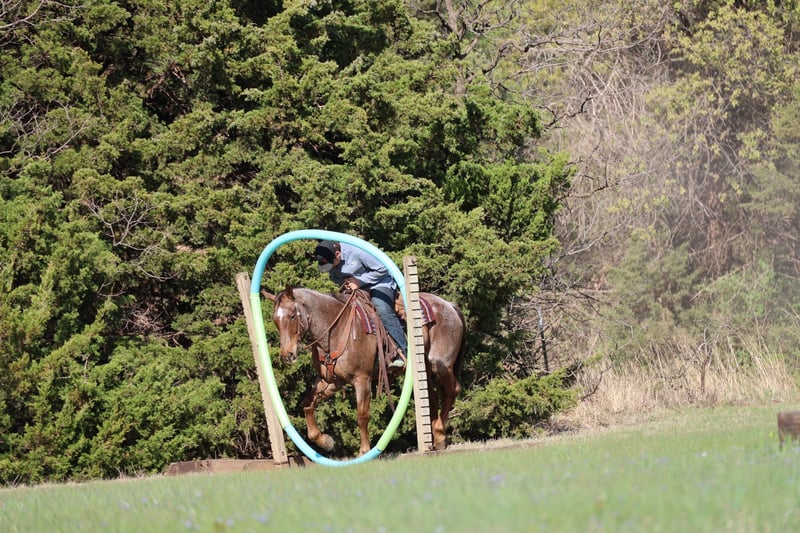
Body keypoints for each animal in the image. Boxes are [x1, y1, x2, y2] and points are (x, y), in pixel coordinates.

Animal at [264, 286, 465, 455]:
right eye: (275, 320)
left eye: (292, 316)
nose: (288, 354)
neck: (335, 329)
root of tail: (448, 305)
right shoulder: (331, 382)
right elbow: (307, 404)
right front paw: (325, 441)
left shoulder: (362, 380)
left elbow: (362, 416)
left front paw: (364, 451)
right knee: (431, 396)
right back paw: (436, 438)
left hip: (440, 363)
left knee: (452, 390)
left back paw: (439, 432)